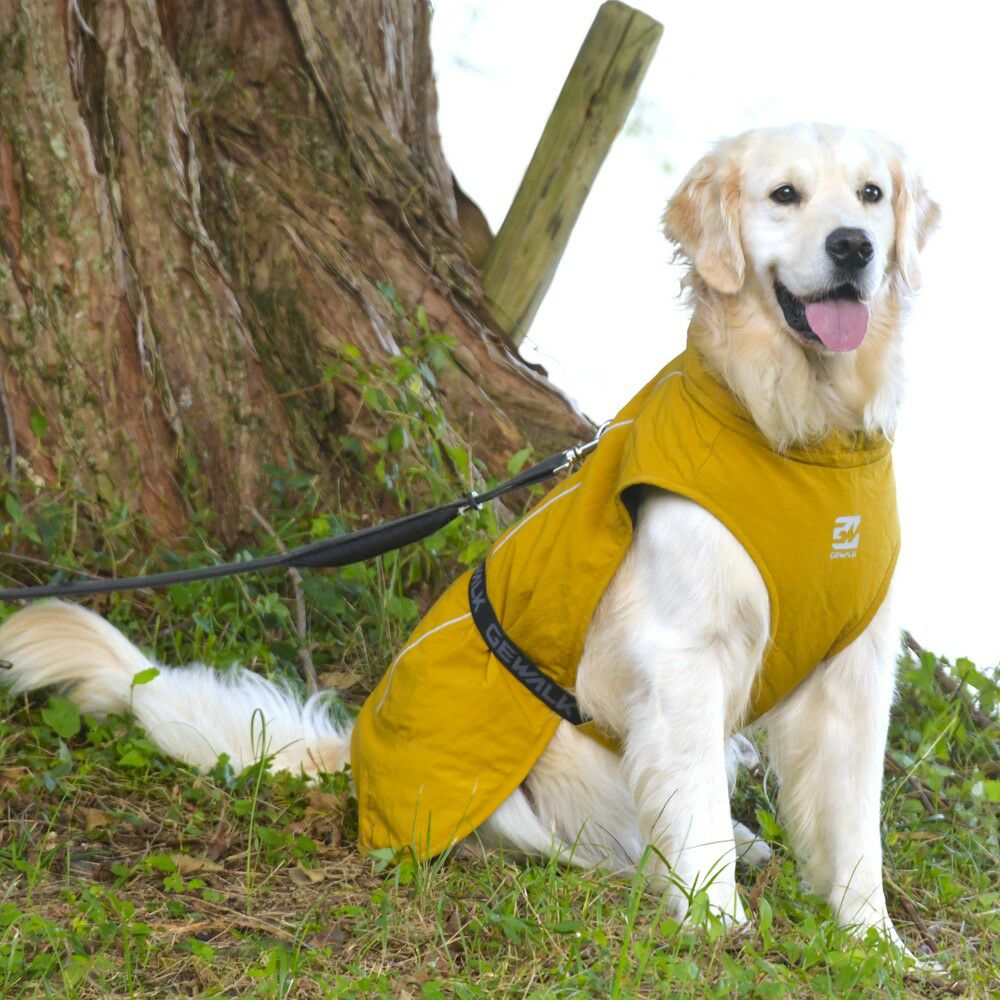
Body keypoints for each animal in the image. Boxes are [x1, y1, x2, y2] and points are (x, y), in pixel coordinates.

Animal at [0, 123, 938, 955]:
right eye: (784, 195)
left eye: (871, 194)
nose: (854, 247)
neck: (802, 436)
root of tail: (355, 755)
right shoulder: (682, 654)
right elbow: (697, 815)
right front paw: (716, 925)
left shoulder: (858, 668)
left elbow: (857, 828)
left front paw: (878, 946)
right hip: (535, 788)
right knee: (602, 843)